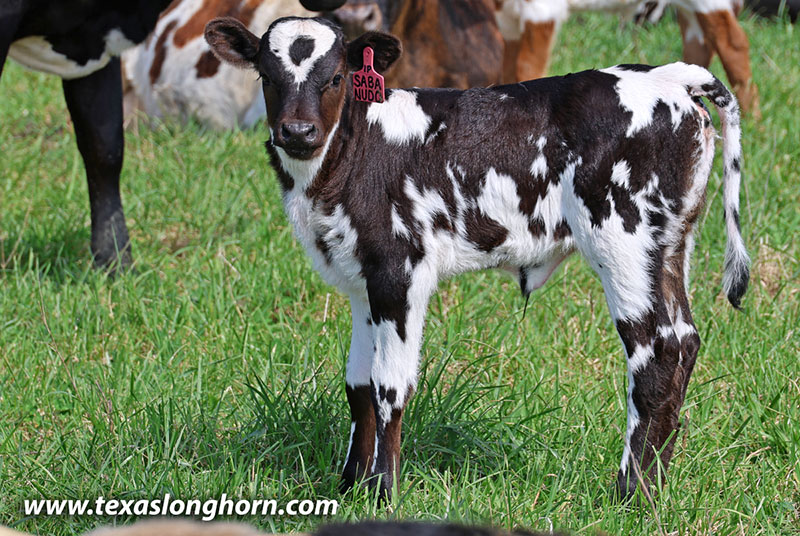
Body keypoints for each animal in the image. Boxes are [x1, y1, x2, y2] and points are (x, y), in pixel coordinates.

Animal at [204, 15, 750, 501]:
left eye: (336, 77)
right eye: (266, 77)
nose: (297, 131)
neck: (349, 158)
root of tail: (668, 76)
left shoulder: (400, 272)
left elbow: (390, 386)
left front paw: (383, 493)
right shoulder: (362, 280)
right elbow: (358, 385)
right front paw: (349, 487)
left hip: (623, 241)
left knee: (658, 353)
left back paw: (631, 494)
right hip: (669, 247)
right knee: (685, 341)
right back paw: (654, 486)